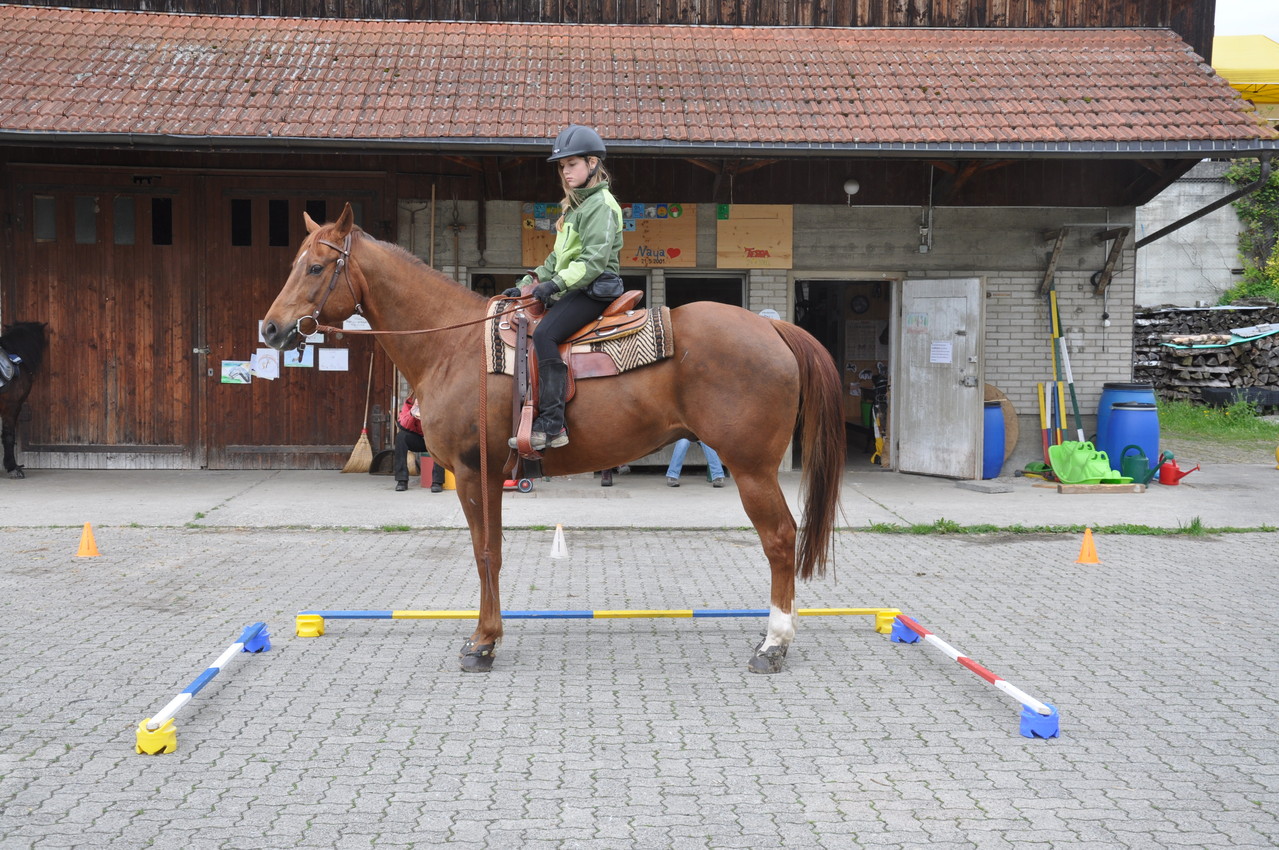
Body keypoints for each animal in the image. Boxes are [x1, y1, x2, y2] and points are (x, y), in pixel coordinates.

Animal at [260, 201, 844, 674]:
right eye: (293, 264)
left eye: (316, 267)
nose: (269, 329)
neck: (455, 347)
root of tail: (772, 327)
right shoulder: (489, 475)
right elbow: (491, 551)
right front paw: (487, 636)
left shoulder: (473, 471)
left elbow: (485, 553)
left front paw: (483, 643)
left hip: (752, 469)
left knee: (779, 539)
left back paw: (773, 644)